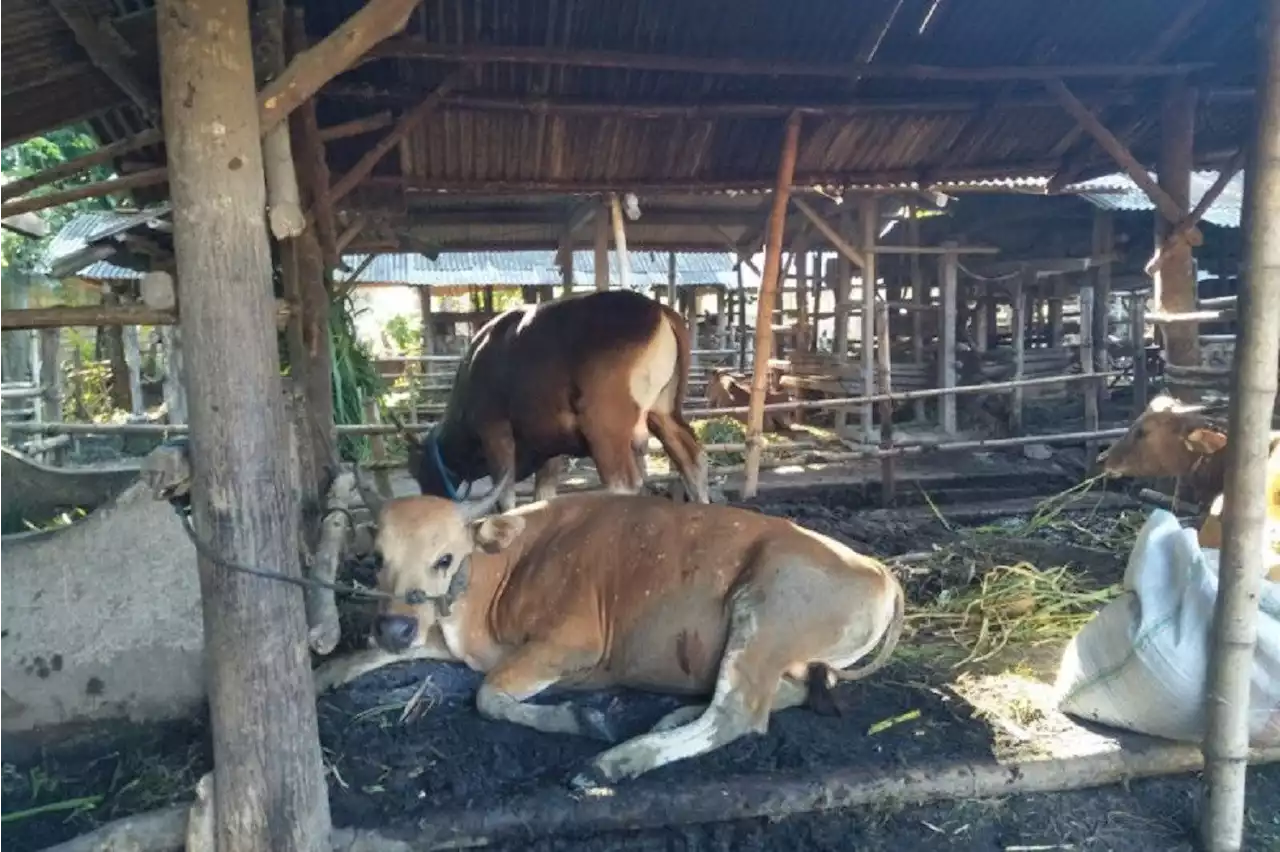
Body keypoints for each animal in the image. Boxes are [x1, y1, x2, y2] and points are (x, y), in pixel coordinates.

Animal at [314, 473, 906, 788]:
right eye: (377, 559)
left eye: (444, 558)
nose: (395, 624)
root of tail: (879, 571)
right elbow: (373, 655)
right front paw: (324, 672)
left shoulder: (570, 643)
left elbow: (487, 696)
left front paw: (583, 719)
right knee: (777, 697)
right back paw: (673, 716)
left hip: (764, 609)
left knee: (738, 713)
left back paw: (614, 762)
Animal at [396, 289, 711, 506]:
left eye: (417, 470)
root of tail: (659, 309)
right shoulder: (549, 444)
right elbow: (543, 496)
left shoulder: (494, 431)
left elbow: (504, 499)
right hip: (663, 412)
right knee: (693, 460)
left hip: (604, 424)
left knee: (624, 483)